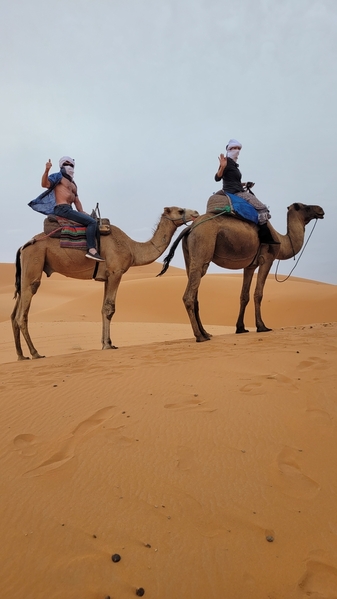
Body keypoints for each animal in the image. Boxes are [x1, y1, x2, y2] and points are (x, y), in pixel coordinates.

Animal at [11, 205, 198, 360]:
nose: (195, 213)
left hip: (25, 273)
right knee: (22, 313)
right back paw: (35, 353)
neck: (133, 248)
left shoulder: (106, 277)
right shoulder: (116, 272)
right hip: (33, 262)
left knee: (14, 314)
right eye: (180, 210)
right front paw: (108, 345)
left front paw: (105, 343)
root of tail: (23, 246)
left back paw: (21, 356)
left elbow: (103, 308)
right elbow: (109, 308)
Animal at [157, 203, 322, 340]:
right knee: (189, 296)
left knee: (194, 289)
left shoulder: (249, 266)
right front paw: (262, 326)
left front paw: (241, 328)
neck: (282, 242)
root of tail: (189, 228)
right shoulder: (267, 259)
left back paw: (205, 333)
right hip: (202, 247)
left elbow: (244, 296)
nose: (320, 210)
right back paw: (199, 336)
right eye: (305, 206)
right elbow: (258, 294)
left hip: (189, 257)